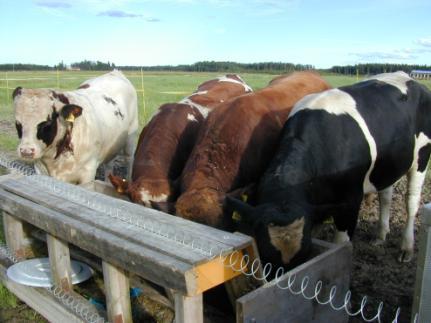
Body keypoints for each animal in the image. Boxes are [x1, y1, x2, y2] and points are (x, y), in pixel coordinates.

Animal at [226, 72, 431, 270]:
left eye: (305, 254)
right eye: (264, 255)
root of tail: (411, 79)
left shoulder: (350, 200)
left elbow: (341, 245)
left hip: (422, 158)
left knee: (411, 201)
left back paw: (406, 248)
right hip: (387, 165)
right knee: (386, 196)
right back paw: (380, 235)